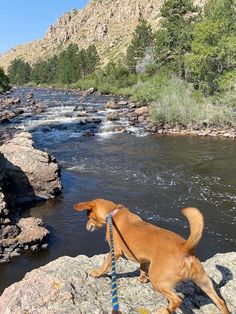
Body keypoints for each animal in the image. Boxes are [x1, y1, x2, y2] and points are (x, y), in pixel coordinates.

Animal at [74, 200, 230, 312]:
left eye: (88, 216)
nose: (86, 226)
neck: (113, 214)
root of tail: (185, 248)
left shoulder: (115, 251)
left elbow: (106, 263)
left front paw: (97, 273)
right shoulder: (143, 259)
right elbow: (143, 268)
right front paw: (142, 279)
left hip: (158, 282)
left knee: (176, 300)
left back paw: (164, 310)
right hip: (204, 282)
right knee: (221, 301)